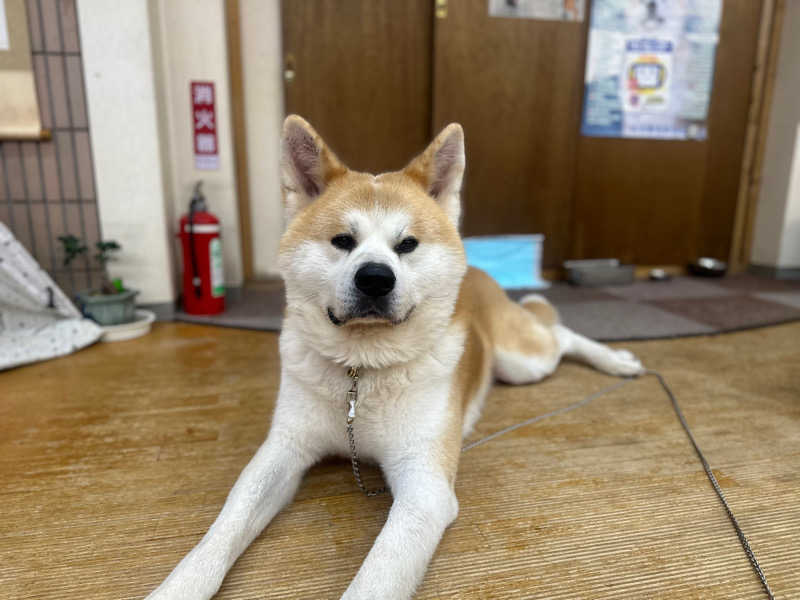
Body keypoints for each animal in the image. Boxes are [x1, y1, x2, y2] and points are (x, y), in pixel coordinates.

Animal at [145, 115, 644, 596]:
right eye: (342, 241)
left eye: (407, 244)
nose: (375, 278)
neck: (361, 372)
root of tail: (481, 271)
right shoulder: (284, 449)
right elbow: (223, 530)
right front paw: (180, 586)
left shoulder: (424, 487)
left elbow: (378, 576)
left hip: (524, 362)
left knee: (558, 333)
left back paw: (617, 360)